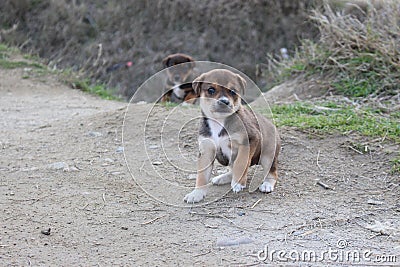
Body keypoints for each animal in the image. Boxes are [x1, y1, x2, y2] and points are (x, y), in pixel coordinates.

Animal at [183, 68, 280, 203]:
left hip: (268, 155)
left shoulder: (250, 140)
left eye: (233, 91)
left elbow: (241, 162)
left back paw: (267, 184)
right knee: (231, 168)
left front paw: (238, 183)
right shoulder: (206, 150)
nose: (225, 101)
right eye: (211, 90)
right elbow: (201, 175)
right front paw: (196, 193)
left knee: (272, 172)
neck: (219, 121)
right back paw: (223, 178)